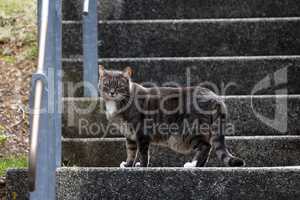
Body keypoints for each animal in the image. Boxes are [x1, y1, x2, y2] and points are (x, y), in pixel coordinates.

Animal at [98, 65, 244, 167]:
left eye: (119, 85)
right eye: (106, 84)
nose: (112, 92)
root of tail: (215, 97)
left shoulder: (141, 133)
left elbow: (143, 153)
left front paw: (141, 166)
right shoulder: (129, 134)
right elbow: (131, 151)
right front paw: (128, 165)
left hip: (189, 131)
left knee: (206, 146)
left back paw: (195, 166)